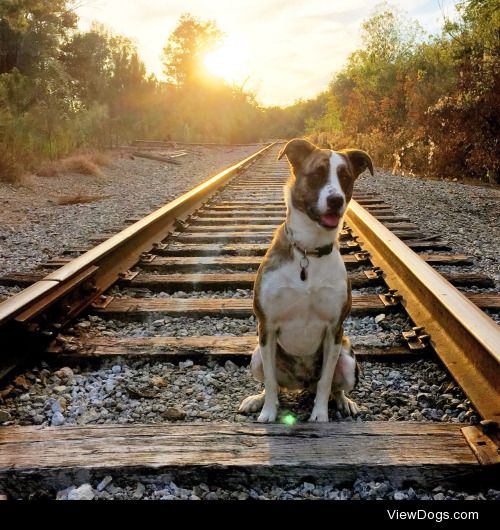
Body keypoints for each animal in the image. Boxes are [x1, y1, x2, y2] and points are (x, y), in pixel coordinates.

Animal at [240, 137, 374, 420]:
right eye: (317, 174)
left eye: (345, 177)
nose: (336, 200)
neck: (309, 251)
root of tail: (302, 384)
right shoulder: (267, 325)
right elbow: (271, 381)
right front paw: (268, 412)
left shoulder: (334, 329)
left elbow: (325, 381)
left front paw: (320, 416)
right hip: (256, 356)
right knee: (273, 384)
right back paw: (258, 400)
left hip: (348, 360)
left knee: (334, 387)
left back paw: (345, 402)